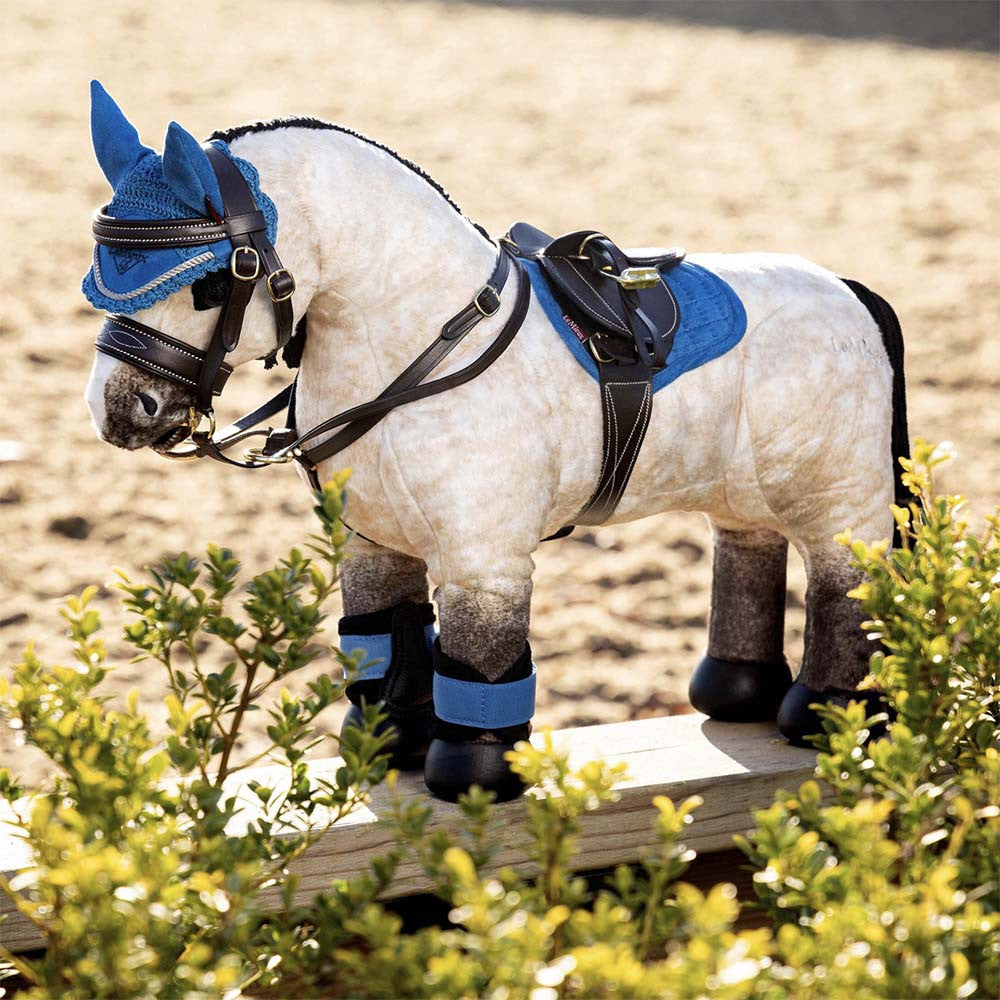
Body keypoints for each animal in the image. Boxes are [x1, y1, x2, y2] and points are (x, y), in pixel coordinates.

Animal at [82, 82, 908, 802]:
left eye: (212, 284)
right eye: (99, 275)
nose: (119, 410)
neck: (420, 342)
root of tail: (846, 287)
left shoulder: (484, 562)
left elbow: (480, 663)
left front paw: (472, 778)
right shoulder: (373, 544)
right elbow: (387, 641)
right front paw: (388, 747)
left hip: (843, 502)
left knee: (843, 585)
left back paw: (830, 714)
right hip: (747, 490)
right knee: (748, 548)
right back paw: (736, 693)